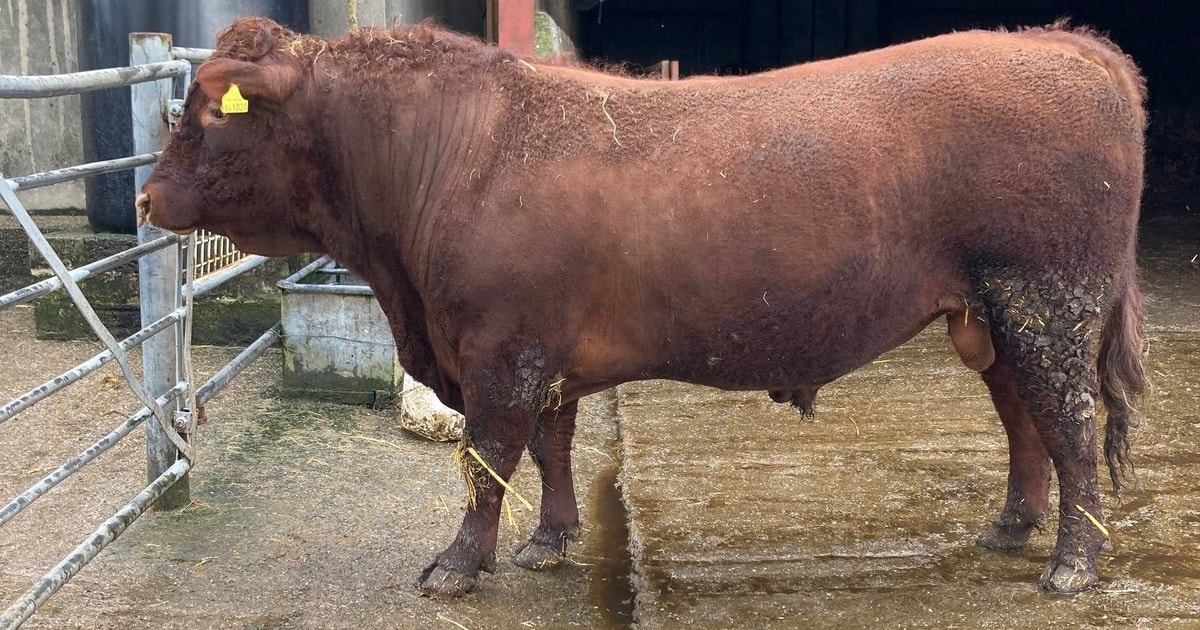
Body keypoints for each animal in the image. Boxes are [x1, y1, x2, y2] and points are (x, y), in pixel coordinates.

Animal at [136, 17, 1147, 598]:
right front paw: (550, 541)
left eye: (210, 113)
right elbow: (550, 448)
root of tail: (1061, 43)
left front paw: (457, 567)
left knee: (1069, 425)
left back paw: (1073, 565)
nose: (145, 199)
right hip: (993, 314)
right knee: (1024, 421)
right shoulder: (545, 353)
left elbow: (487, 460)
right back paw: (1013, 528)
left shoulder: (499, 352)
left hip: (1048, 304)